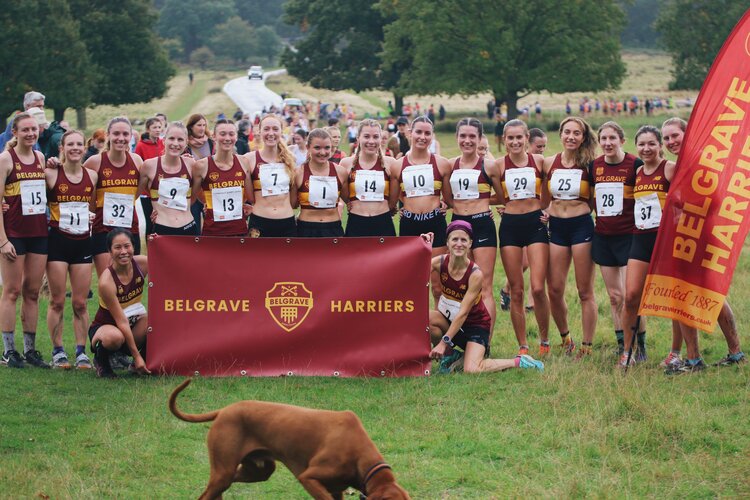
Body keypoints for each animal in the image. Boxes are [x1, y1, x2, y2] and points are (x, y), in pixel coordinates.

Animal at [170, 378, 412, 500]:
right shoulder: (309, 478)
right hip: (225, 471)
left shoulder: (336, 489)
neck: (360, 457)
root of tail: (224, 410)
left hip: (258, 471)